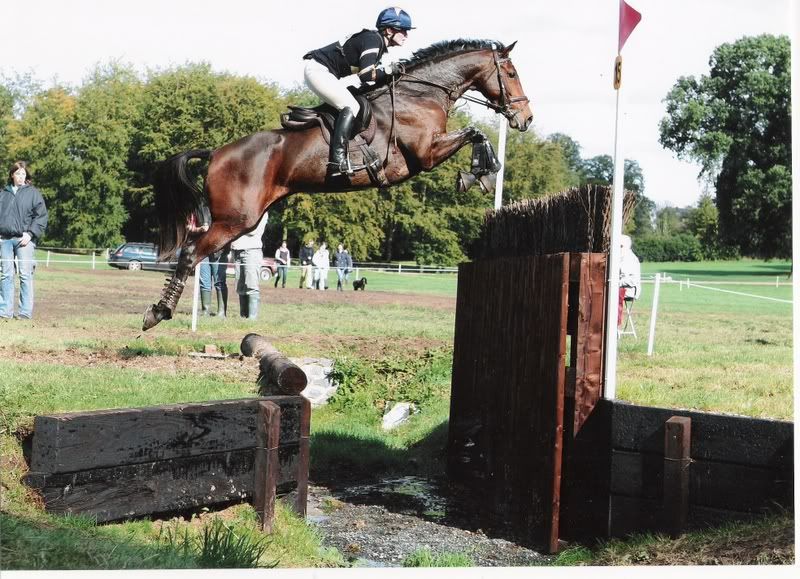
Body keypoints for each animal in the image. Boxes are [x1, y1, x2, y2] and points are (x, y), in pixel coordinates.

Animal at [142, 39, 533, 330]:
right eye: (511, 72)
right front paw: (479, 172)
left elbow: (475, 133)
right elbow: (475, 132)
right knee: (190, 253)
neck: (420, 94)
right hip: (235, 219)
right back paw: (157, 312)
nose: (526, 118)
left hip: (241, 221)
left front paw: (482, 172)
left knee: (192, 252)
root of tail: (217, 152)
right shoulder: (425, 154)